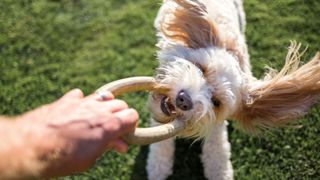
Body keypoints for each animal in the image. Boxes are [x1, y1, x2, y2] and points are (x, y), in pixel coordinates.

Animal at [146, 0, 320, 179]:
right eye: (201, 68)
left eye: (216, 102)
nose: (184, 100)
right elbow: (160, 142)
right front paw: (158, 167)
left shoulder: (217, 126)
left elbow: (218, 153)